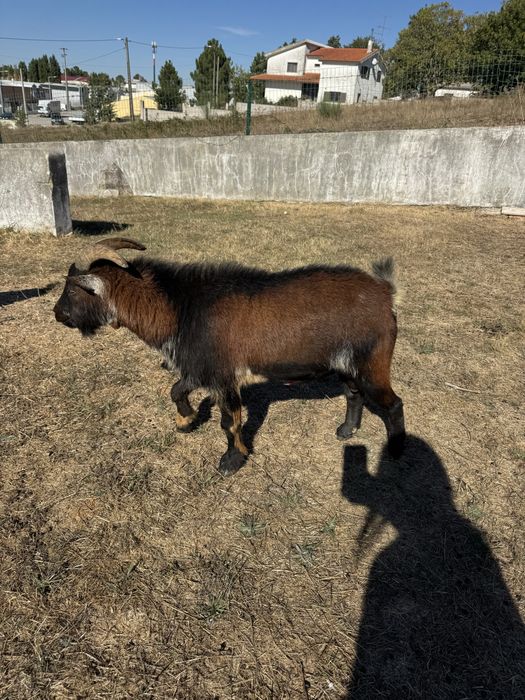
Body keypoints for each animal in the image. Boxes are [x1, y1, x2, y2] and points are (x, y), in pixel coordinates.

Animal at [54, 237, 405, 474]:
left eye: (71, 289)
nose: (58, 314)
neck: (180, 307)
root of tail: (384, 292)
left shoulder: (223, 376)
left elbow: (230, 422)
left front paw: (232, 461)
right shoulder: (199, 368)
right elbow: (176, 390)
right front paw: (186, 421)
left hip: (373, 363)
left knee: (392, 403)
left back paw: (397, 451)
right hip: (347, 365)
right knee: (354, 394)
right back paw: (347, 430)